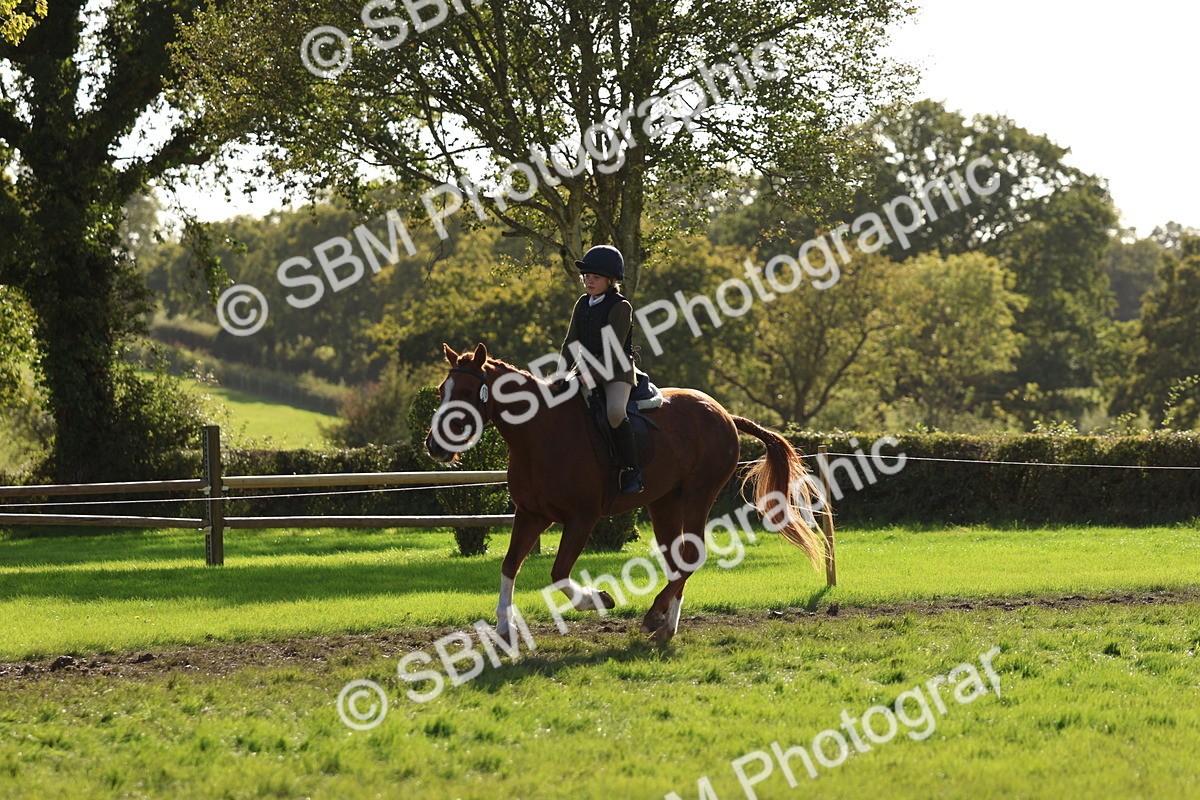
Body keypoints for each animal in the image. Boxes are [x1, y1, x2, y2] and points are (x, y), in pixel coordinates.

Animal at [424, 343, 825, 643]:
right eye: (443, 391)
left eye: (466, 392)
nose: (434, 446)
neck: (538, 435)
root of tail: (725, 413)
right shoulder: (531, 515)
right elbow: (510, 565)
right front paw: (504, 628)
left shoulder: (581, 518)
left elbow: (559, 572)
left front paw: (598, 600)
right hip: (665, 503)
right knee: (678, 559)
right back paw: (665, 624)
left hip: (699, 495)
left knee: (691, 555)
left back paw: (655, 618)